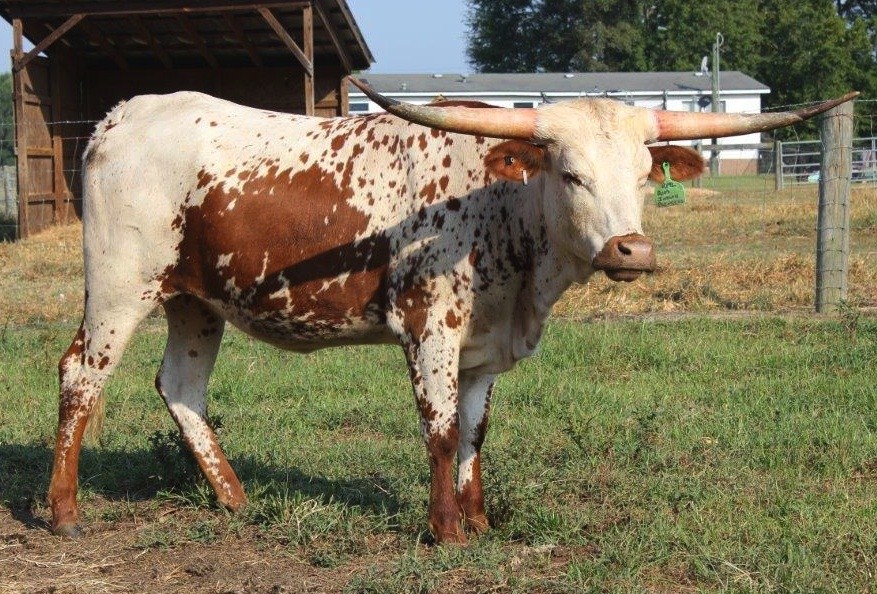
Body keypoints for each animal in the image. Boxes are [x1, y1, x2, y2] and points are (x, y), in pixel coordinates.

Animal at [47, 78, 856, 544]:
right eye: (570, 173)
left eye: (642, 175)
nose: (632, 249)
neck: (502, 210)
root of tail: (125, 114)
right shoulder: (428, 329)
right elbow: (438, 432)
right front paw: (445, 532)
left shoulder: (484, 347)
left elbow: (474, 433)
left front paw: (479, 518)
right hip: (120, 284)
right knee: (80, 376)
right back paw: (64, 512)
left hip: (194, 301)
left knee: (182, 388)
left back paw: (237, 501)